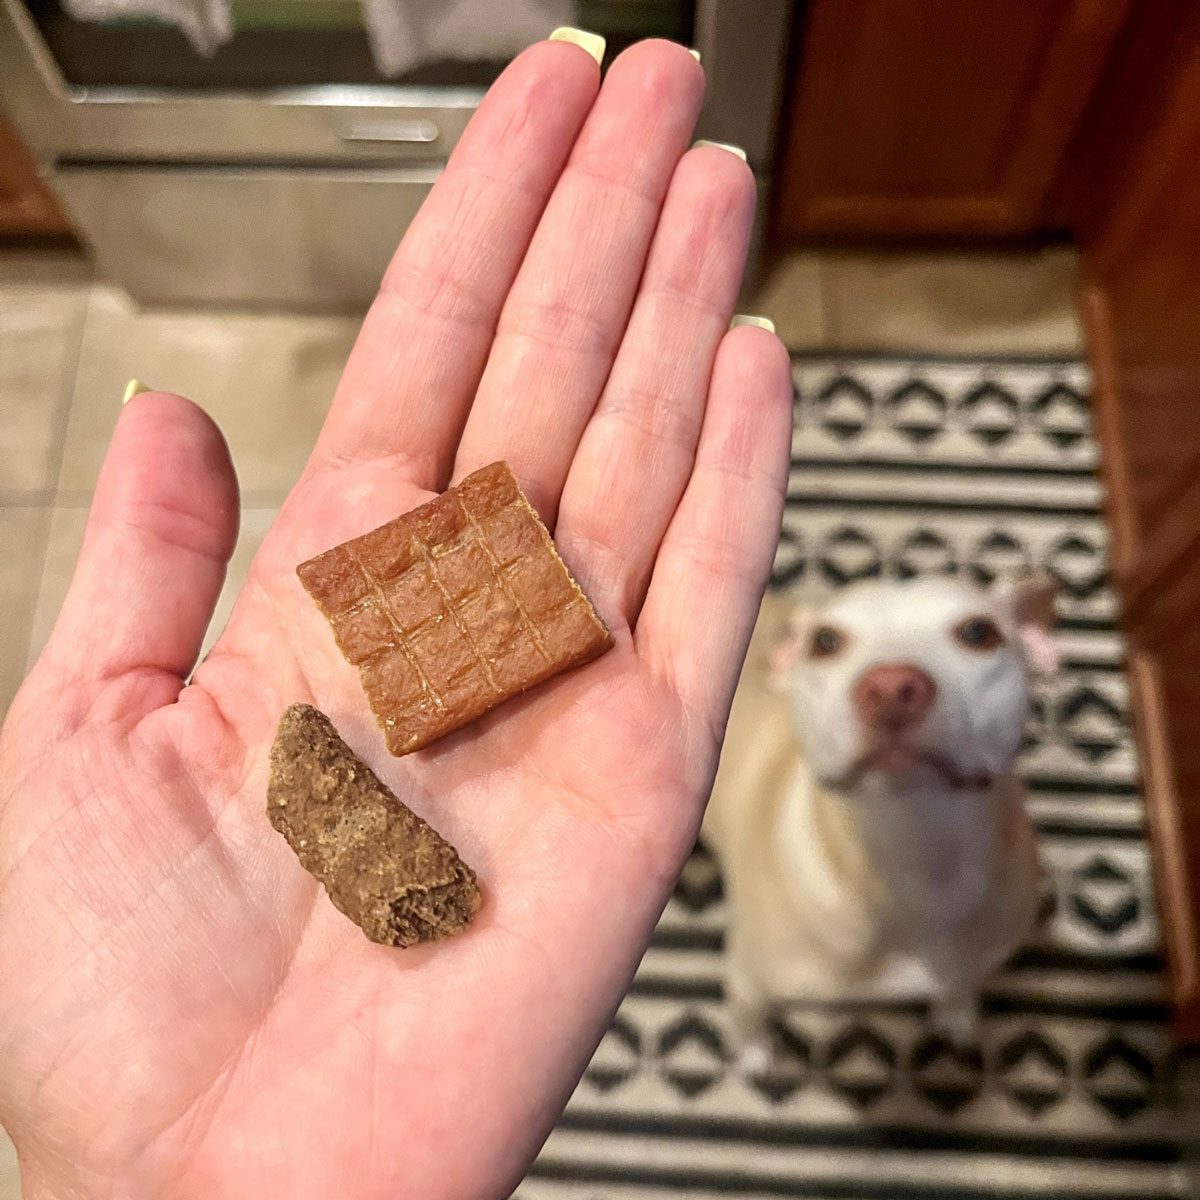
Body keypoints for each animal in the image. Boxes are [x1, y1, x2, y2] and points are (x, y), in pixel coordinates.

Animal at [705, 576, 1056, 1065]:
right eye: (824, 642)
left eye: (979, 633)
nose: (890, 688)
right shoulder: (747, 979)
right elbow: (748, 1020)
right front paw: (754, 1056)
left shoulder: (977, 954)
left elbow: (959, 983)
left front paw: (955, 1012)